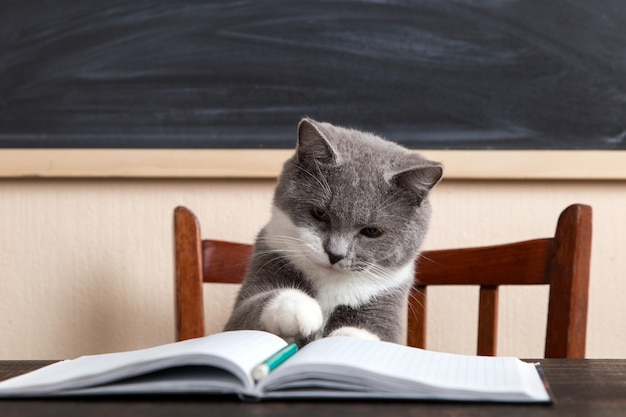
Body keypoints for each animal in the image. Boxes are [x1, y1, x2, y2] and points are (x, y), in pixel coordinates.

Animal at [222, 118, 442, 344]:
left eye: (372, 230)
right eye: (320, 213)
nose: (335, 254)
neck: (331, 284)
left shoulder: (388, 297)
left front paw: (349, 338)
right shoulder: (268, 256)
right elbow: (246, 312)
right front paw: (299, 307)